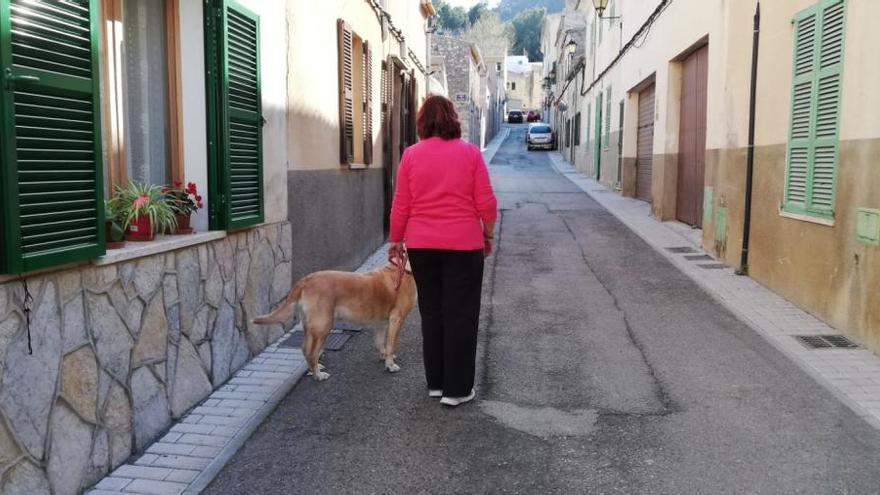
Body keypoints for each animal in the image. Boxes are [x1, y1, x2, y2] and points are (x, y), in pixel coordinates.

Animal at [253, 258, 418, 382]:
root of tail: (306, 280)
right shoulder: (396, 320)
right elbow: (390, 345)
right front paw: (390, 365)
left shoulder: (381, 324)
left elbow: (380, 343)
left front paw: (384, 358)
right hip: (323, 326)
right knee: (311, 352)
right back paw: (318, 375)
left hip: (311, 326)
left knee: (306, 349)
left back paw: (315, 368)